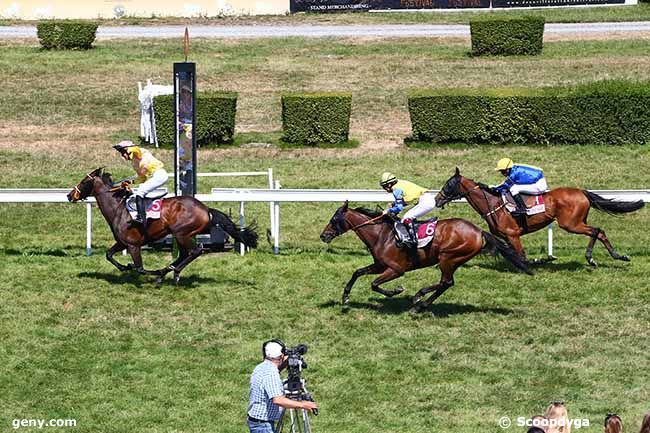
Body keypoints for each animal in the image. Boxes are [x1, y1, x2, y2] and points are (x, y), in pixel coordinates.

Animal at [66, 168, 258, 284]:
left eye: (84, 181)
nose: (69, 195)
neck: (119, 209)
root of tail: (205, 209)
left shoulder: (133, 245)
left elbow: (140, 268)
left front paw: (145, 270)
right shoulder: (122, 242)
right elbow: (109, 255)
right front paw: (124, 267)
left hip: (182, 233)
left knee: (196, 251)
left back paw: (173, 273)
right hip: (181, 235)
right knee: (184, 254)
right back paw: (169, 270)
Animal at [318, 201, 528, 312]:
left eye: (334, 220)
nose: (323, 235)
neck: (381, 235)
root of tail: (479, 231)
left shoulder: (396, 269)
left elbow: (374, 284)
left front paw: (396, 291)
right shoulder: (379, 265)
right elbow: (358, 272)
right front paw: (345, 297)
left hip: (448, 257)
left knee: (446, 282)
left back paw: (419, 299)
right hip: (453, 260)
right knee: (446, 283)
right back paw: (422, 304)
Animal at [432, 167, 640, 264]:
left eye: (449, 184)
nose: (436, 199)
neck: (493, 204)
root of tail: (581, 191)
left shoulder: (513, 235)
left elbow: (523, 256)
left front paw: (542, 259)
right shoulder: (504, 237)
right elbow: (496, 251)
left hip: (570, 224)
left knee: (596, 230)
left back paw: (591, 257)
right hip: (577, 222)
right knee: (599, 231)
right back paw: (616, 256)